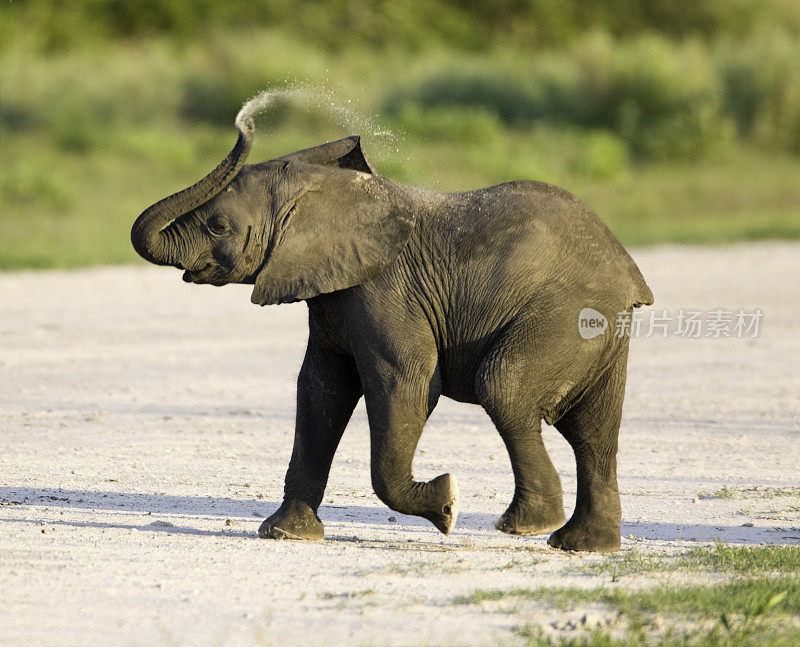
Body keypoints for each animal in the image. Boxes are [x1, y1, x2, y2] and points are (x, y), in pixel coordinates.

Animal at [133, 110, 648, 552]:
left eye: (218, 226)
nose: (247, 121)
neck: (323, 192)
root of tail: (628, 272)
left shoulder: (386, 293)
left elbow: (407, 384)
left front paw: (447, 505)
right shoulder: (334, 297)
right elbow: (318, 392)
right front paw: (285, 534)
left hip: (566, 312)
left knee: (506, 386)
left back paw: (526, 526)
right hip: (597, 327)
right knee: (593, 432)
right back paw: (581, 545)